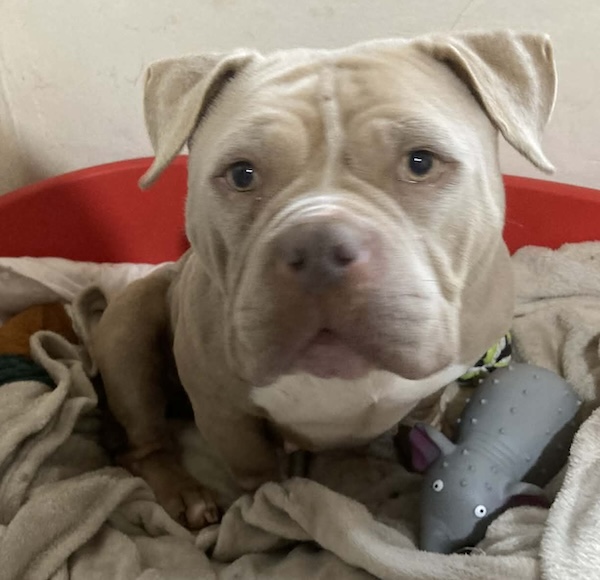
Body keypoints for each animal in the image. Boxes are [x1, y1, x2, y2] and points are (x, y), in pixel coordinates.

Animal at [83, 30, 556, 529]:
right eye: (241, 173)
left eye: (421, 162)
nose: (318, 250)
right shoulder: (224, 413)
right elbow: (257, 473)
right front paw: (268, 513)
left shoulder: (438, 378)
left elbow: (422, 414)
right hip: (130, 327)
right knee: (142, 446)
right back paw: (185, 493)